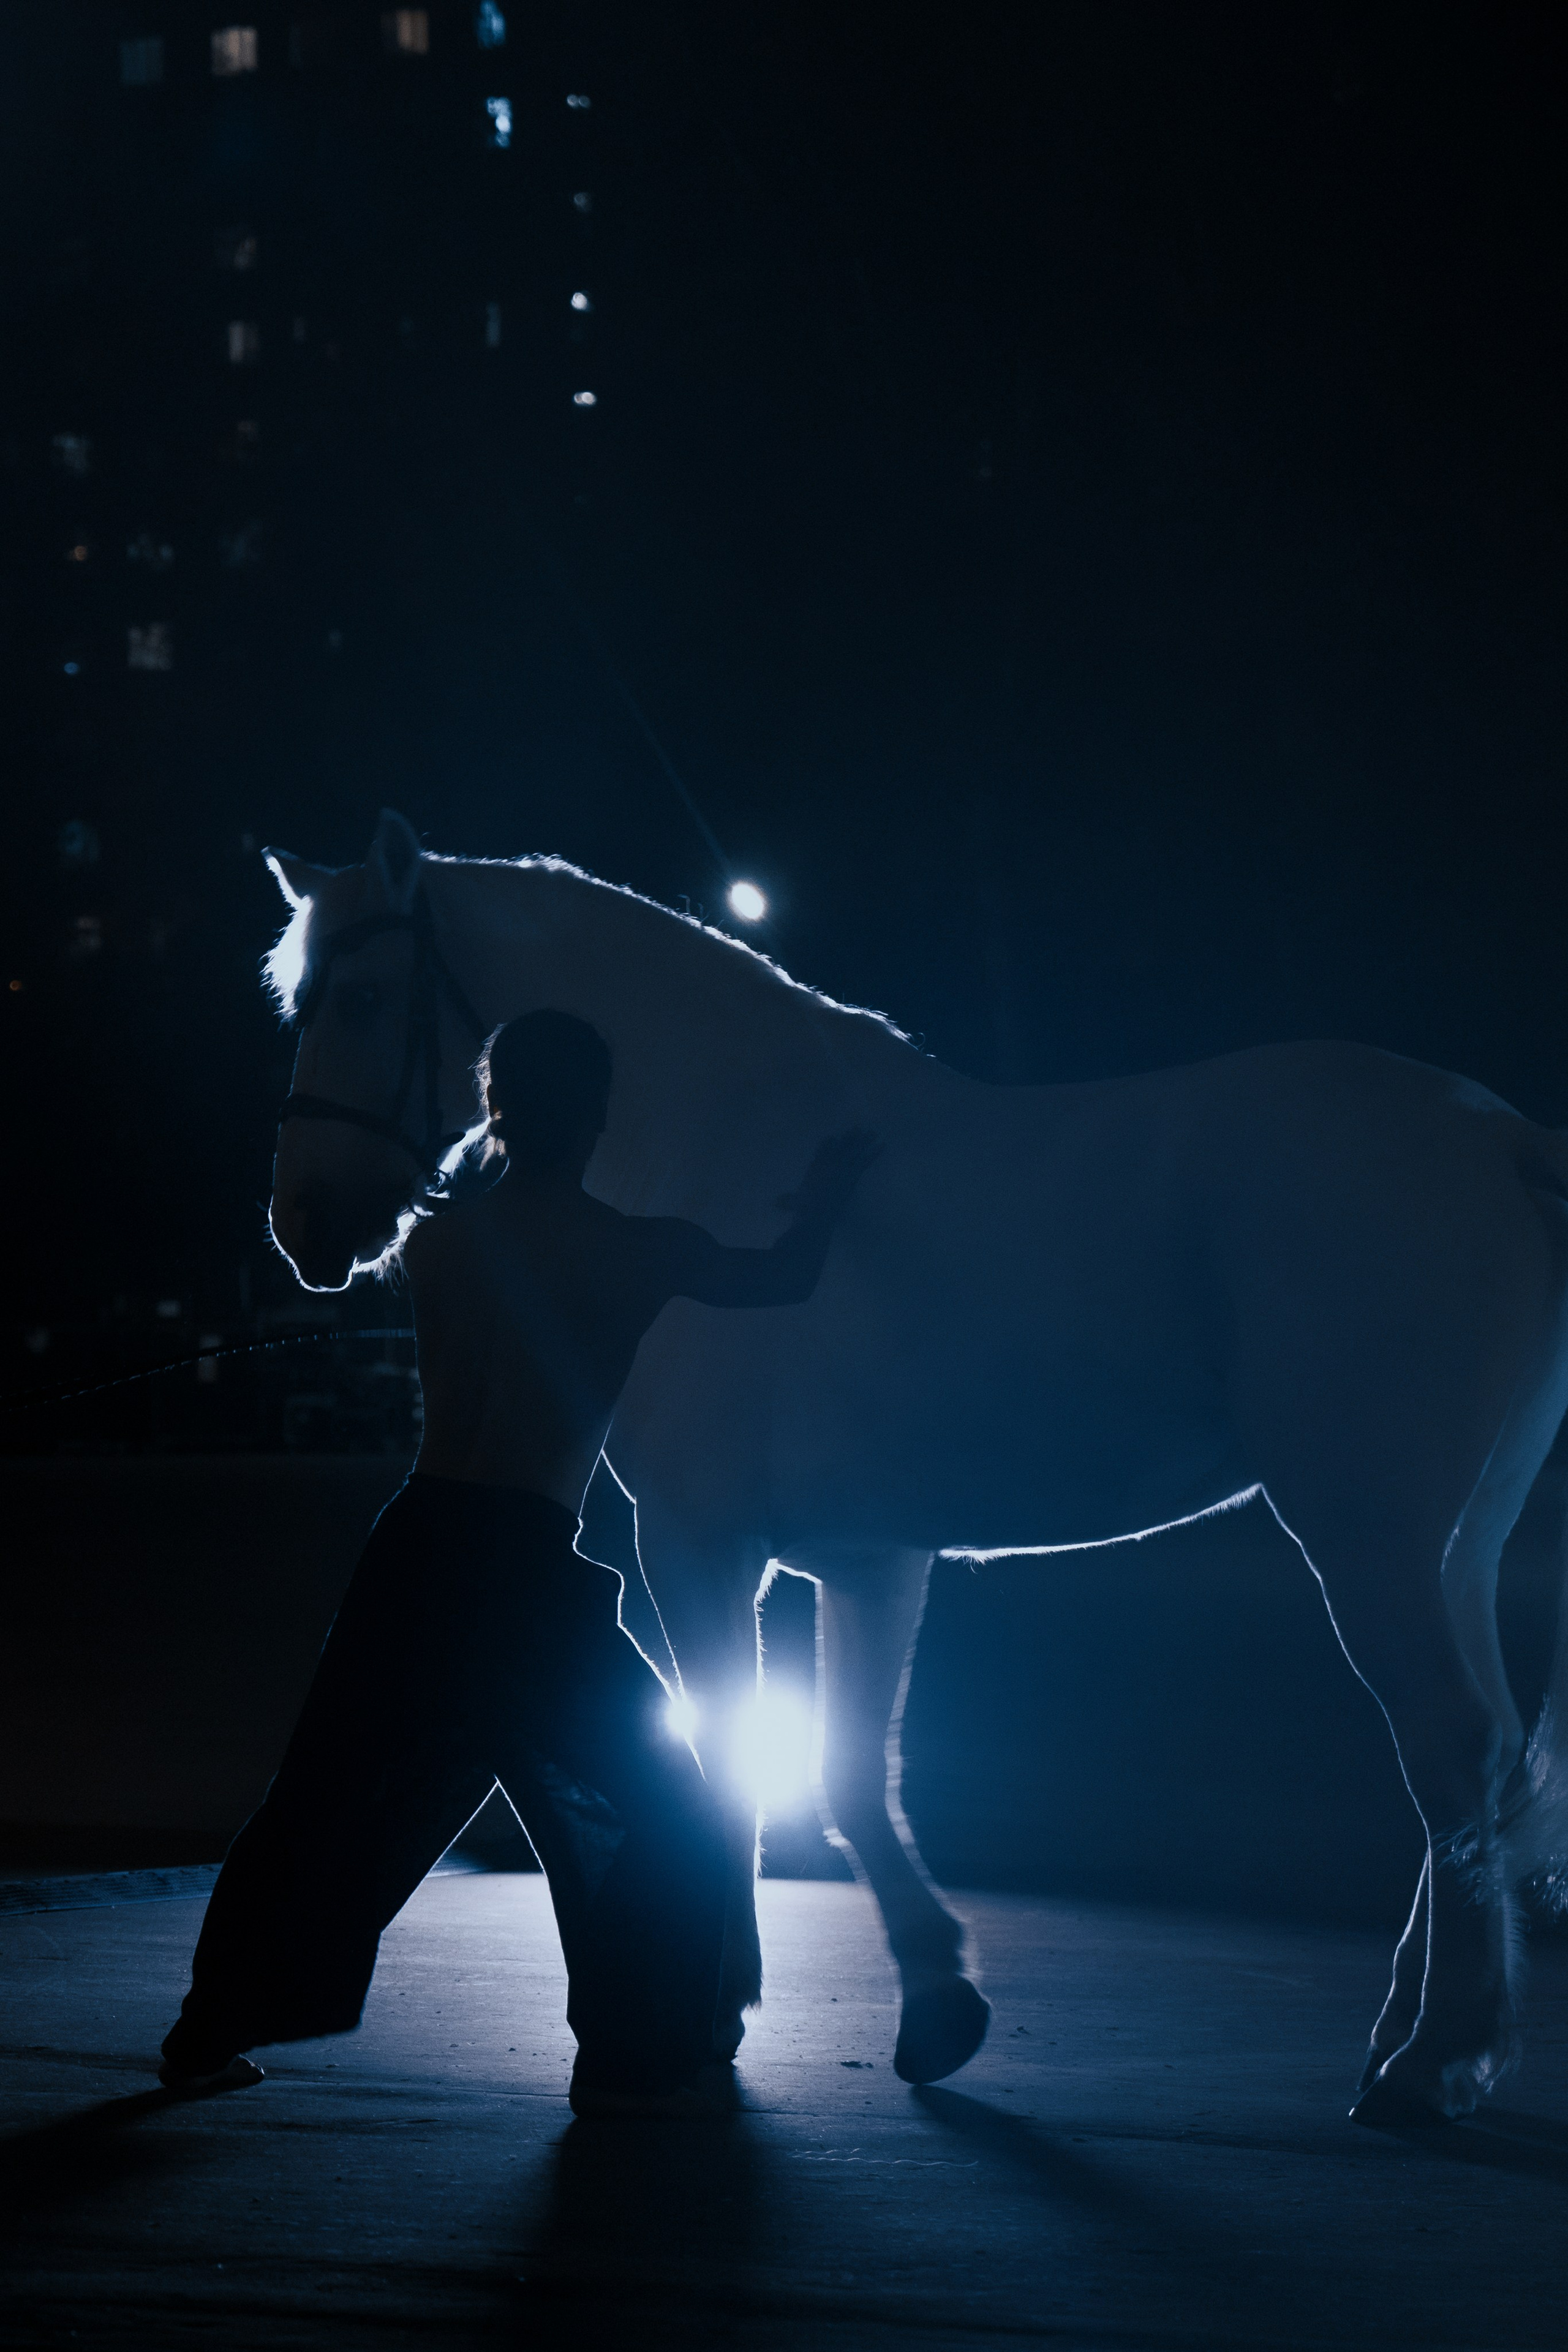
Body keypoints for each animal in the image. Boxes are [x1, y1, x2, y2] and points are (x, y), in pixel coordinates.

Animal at [262, 808, 1568, 2122]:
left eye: (362, 997)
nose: (307, 1227)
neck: (728, 1150)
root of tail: (1501, 1137)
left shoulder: (698, 1543)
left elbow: (731, 1753)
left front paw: (722, 2004)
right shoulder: (866, 1558)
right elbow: (845, 1775)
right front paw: (935, 2003)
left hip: (1367, 1537)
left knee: (1449, 1744)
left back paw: (1435, 2056)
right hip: (1459, 1543)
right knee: (1489, 1750)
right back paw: (1415, 2032)